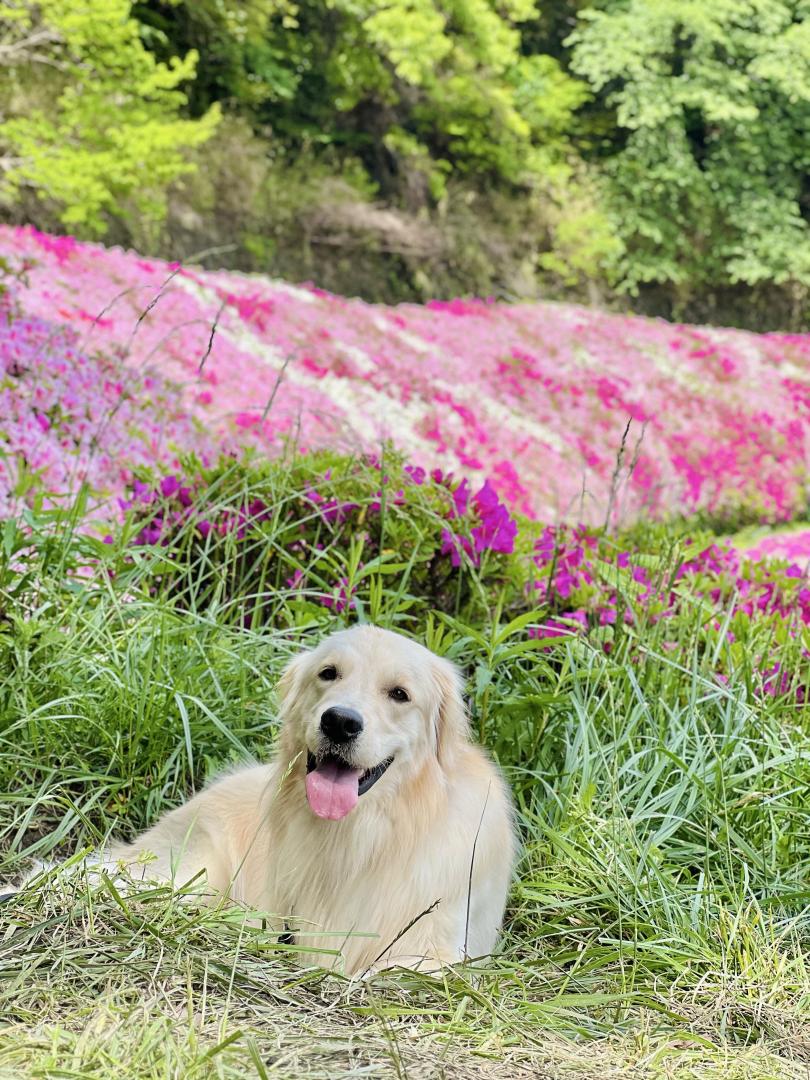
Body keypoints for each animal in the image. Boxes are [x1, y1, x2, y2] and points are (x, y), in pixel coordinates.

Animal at [15, 622, 516, 976]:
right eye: (328, 674)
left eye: (399, 694)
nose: (339, 722)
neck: (361, 838)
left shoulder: (437, 945)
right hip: (190, 875)